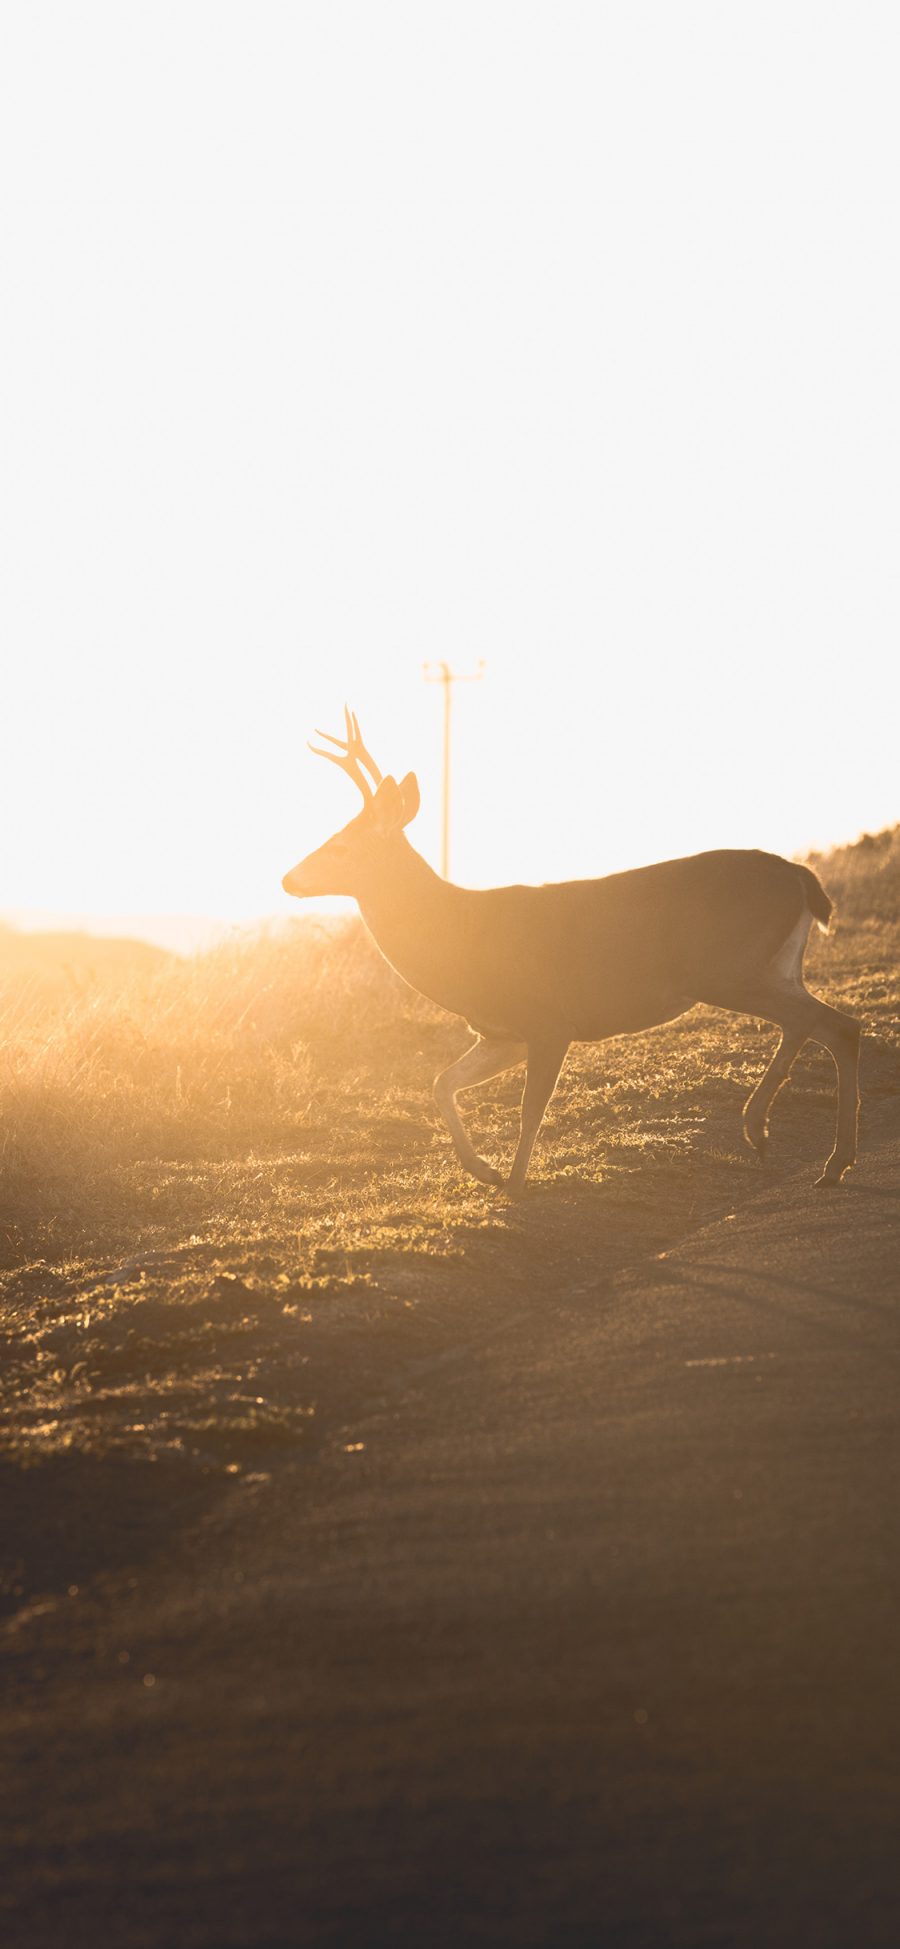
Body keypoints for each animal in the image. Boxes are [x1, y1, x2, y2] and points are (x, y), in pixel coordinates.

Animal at [280, 709, 857, 1192]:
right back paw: (800, 1149)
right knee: (823, 1023)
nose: (288, 878)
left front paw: (513, 1184)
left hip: (729, 968)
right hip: (771, 967)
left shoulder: (549, 1021)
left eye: (342, 845)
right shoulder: (502, 1033)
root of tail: (803, 876)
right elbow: (442, 1084)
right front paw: (484, 1170)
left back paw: (791, 1143)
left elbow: (529, 1108)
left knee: (828, 1023)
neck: (460, 940)